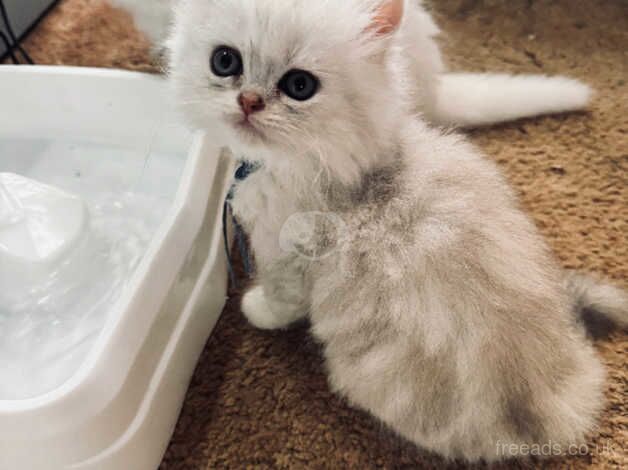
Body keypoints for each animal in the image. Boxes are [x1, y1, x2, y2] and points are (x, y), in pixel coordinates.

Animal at [168, 0, 628, 462]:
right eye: (225, 61)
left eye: (300, 85)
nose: (248, 100)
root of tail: (560, 411)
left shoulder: (286, 255)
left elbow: (280, 299)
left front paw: (256, 309)